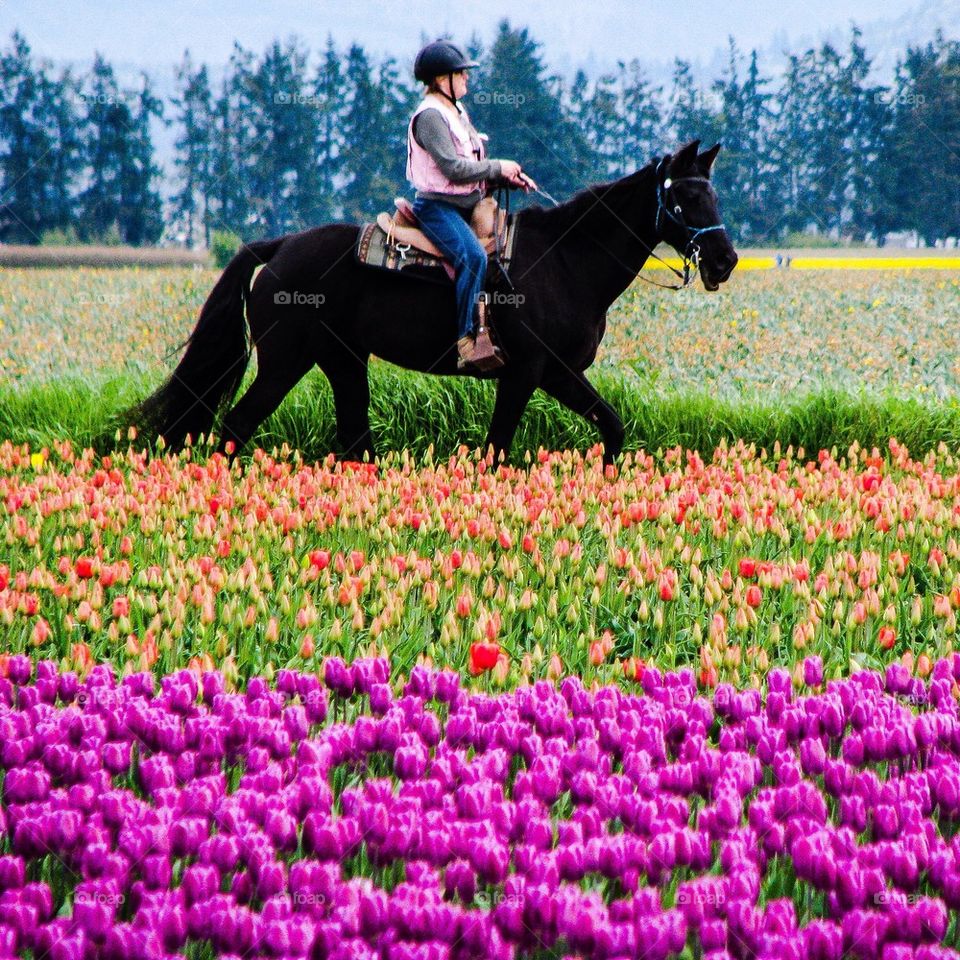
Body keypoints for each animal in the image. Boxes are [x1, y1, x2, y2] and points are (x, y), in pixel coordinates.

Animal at [134, 139, 738, 466]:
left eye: (713, 192)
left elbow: (611, 427)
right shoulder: (530, 372)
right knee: (234, 430)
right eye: (683, 196)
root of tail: (279, 247)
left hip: (343, 362)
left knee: (354, 442)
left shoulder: (560, 373)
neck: (568, 261)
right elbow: (497, 451)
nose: (724, 260)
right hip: (284, 363)